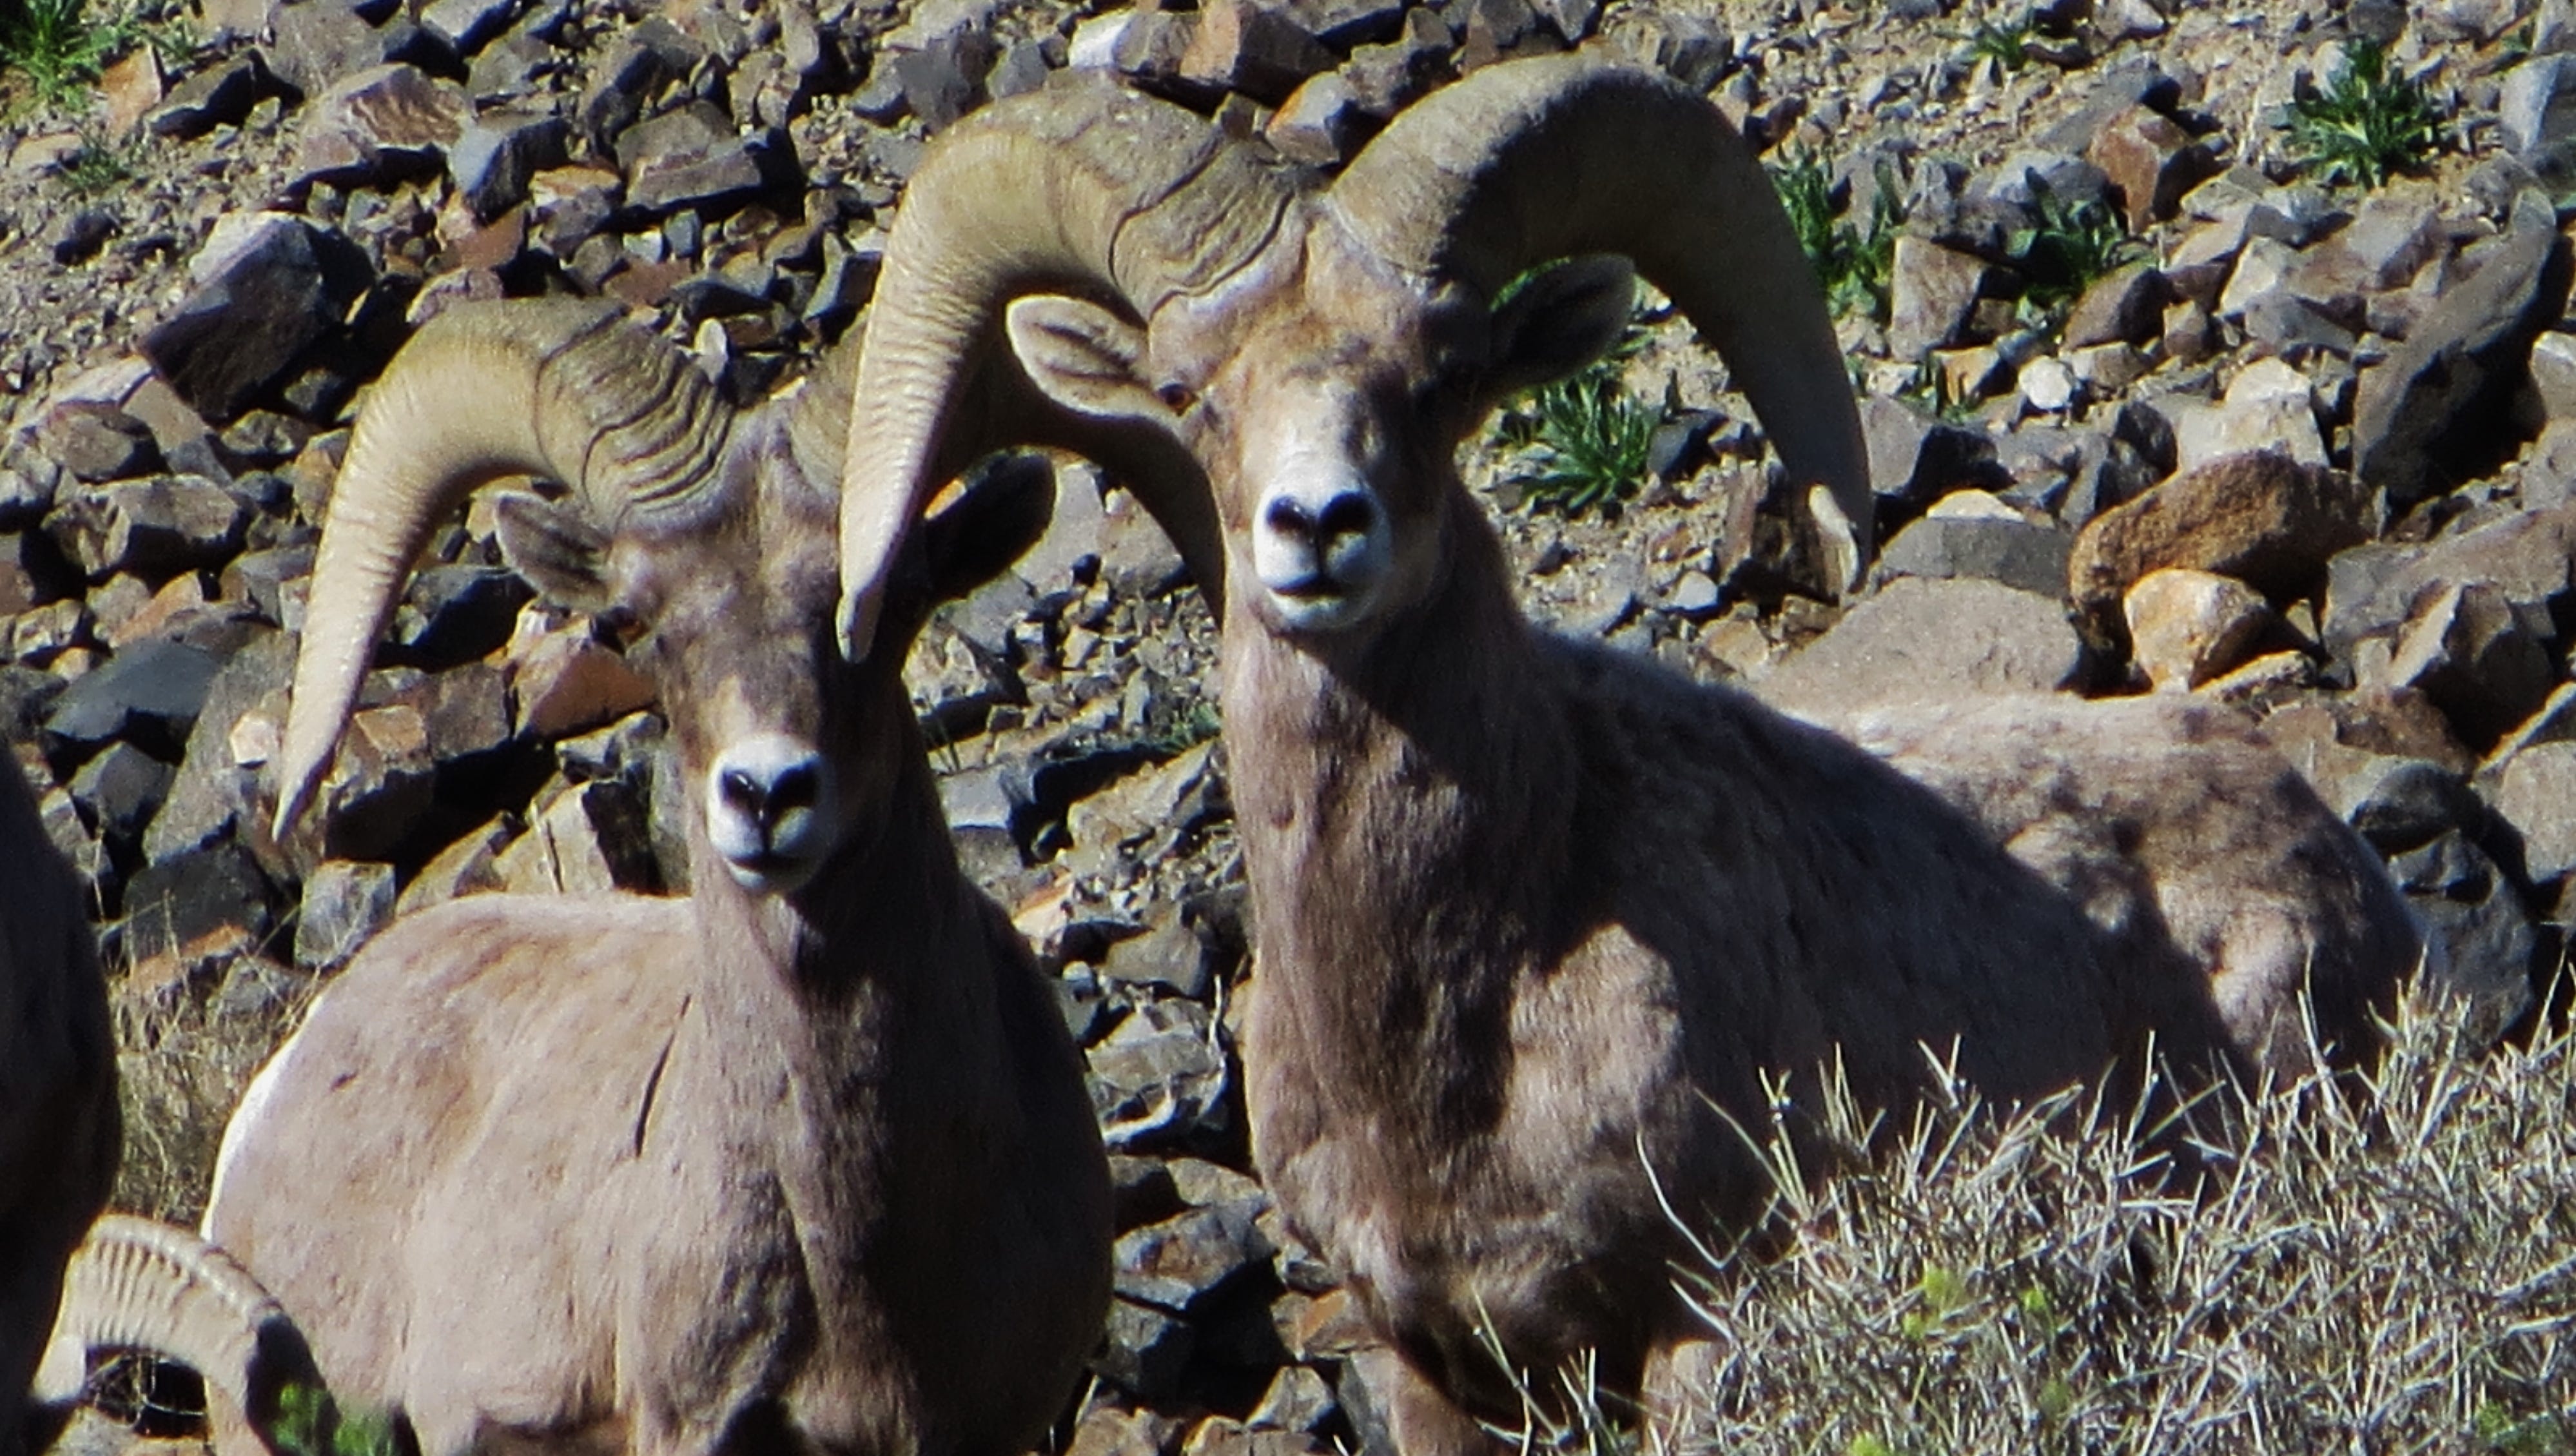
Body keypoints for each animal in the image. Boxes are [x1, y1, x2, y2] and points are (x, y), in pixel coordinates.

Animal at [829, 56, 2432, 1443]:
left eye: (1445, 375)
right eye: (1188, 394)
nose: (1317, 528)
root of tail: (2341, 864)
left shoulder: (1703, 1319)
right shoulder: (1428, 1361)